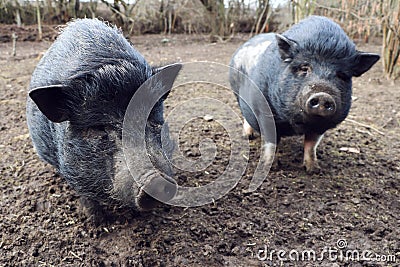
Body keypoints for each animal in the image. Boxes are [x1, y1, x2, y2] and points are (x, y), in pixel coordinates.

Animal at [230, 15, 380, 173]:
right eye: (304, 67)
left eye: (341, 75)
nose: (323, 94)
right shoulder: (264, 112)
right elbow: (271, 143)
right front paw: (270, 167)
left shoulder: (321, 126)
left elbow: (311, 144)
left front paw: (314, 169)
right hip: (238, 95)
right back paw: (248, 136)